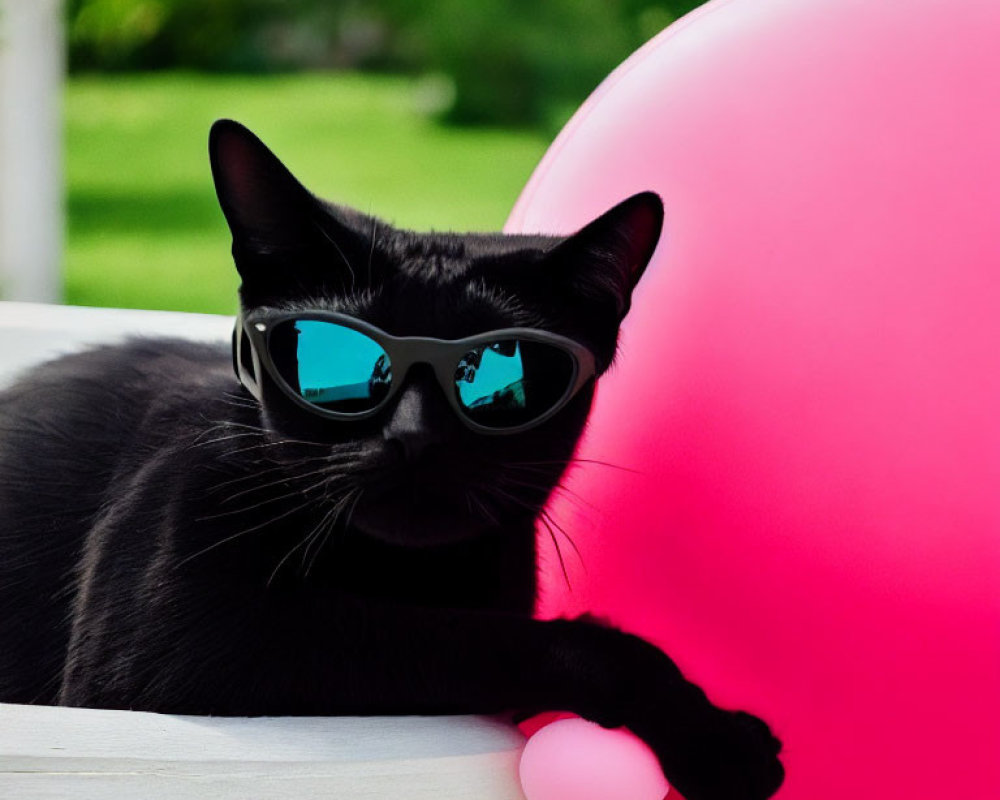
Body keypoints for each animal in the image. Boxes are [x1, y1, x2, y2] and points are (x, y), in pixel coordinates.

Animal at [0, 120, 780, 800]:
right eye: (335, 357)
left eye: (503, 372)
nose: (414, 434)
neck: (406, 573)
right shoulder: (173, 641)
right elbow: (486, 640)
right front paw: (717, 737)